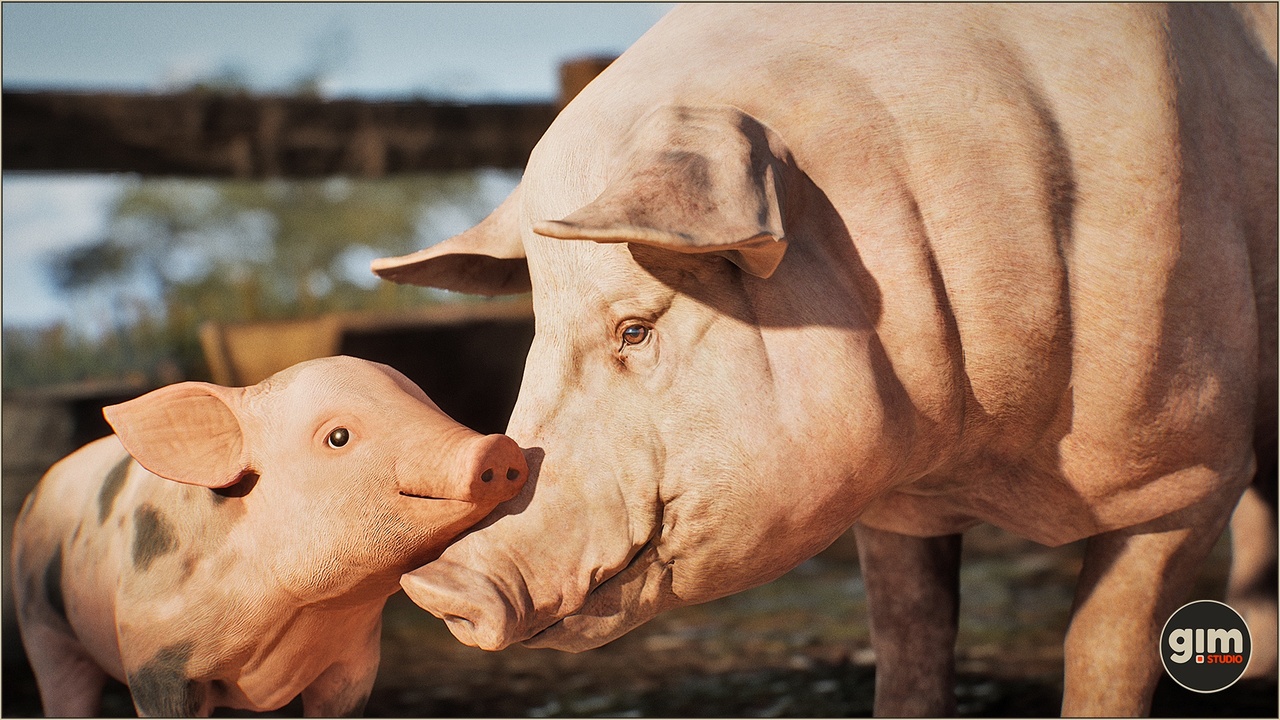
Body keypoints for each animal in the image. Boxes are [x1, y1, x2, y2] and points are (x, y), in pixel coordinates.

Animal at [11, 355, 527, 717]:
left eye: (428, 403)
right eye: (338, 437)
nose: (497, 446)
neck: (294, 609)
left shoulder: (354, 661)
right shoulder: (154, 662)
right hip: (41, 624)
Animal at [372, 4, 1277, 717]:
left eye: (634, 329)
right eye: (538, 328)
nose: (439, 585)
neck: (991, 464)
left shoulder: (1189, 473)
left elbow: (1103, 652)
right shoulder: (897, 504)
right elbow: (909, 644)